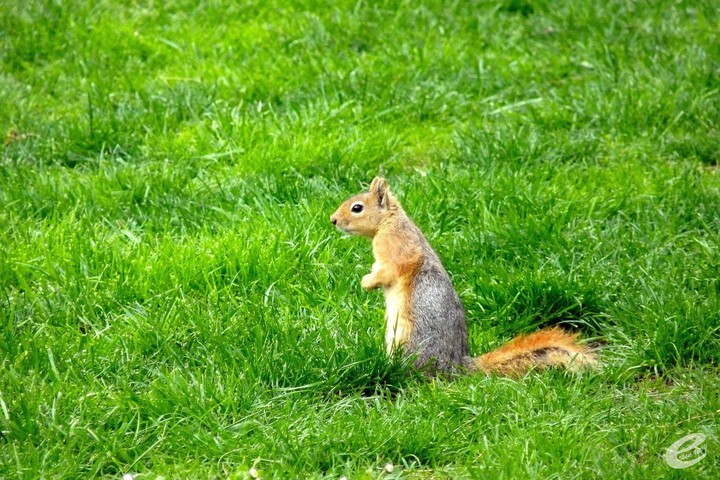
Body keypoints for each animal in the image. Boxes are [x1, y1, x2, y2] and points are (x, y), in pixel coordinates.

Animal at [330, 177, 596, 376]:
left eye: (357, 208)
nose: (333, 220)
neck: (389, 221)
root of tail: (456, 366)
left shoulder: (397, 249)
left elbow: (388, 271)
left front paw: (366, 282)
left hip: (408, 342)